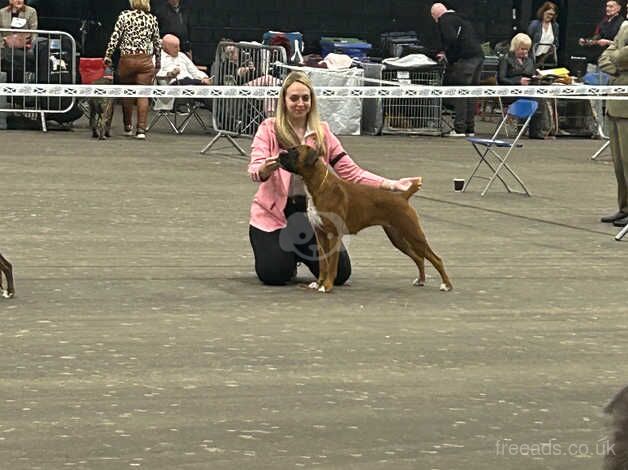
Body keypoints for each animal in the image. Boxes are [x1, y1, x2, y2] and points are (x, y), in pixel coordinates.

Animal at [280, 145, 452, 292]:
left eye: (295, 152)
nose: (280, 153)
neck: (319, 186)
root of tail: (403, 196)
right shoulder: (320, 235)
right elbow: (323, 263)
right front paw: (319, 283)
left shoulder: (333, 235)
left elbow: (332, 264)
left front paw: (327, 286)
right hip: (398, 238)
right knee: (419, 258)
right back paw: (421, 280)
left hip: (413, 234)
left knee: (435, 258)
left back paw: (446, 285)